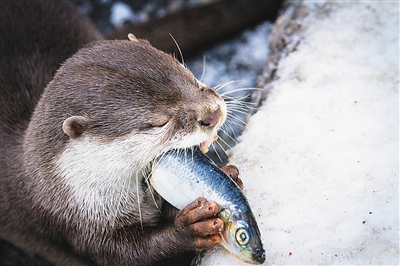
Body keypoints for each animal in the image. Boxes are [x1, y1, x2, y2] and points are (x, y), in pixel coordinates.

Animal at [0, 1, 241, 264]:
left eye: (190, 77)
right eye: (158, 123)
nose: (213, 114)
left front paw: (228, 176)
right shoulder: (79, 227)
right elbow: (126, 254)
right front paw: (190, 227)